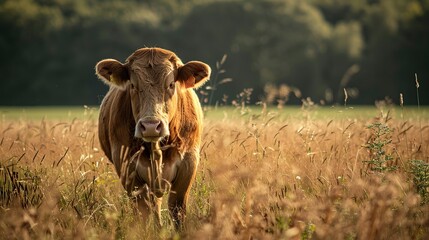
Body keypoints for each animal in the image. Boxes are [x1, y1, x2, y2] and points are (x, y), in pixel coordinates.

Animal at [96, 47, 211, 229]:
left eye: (171, 84)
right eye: (133, 85)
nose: (151, 125)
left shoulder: (188, 164)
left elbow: (177, 210)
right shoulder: (128, 168)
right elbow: (143, 214)